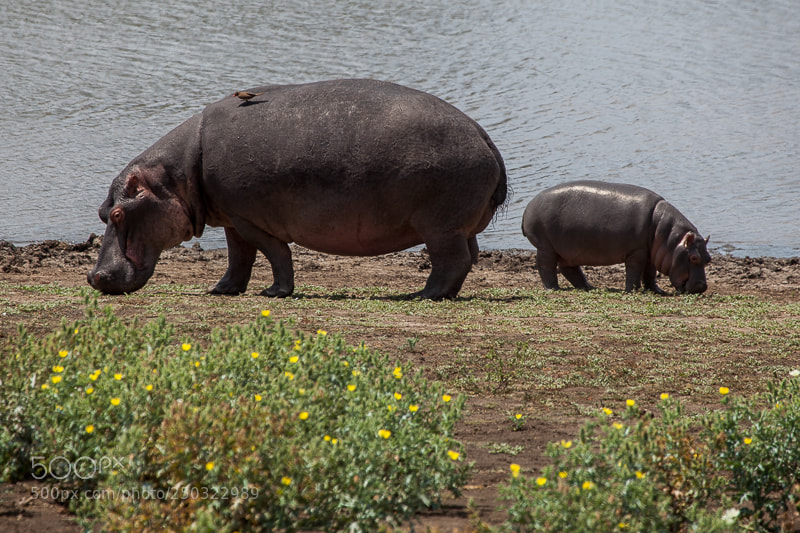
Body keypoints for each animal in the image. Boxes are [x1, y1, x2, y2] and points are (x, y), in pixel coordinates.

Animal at [87, 79, 507, 299]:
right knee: (469, 256)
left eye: (120, 213)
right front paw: (222, 290)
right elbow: (238, 258)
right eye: (102, 212)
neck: (177, 176)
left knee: (452, 260)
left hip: (440, 227)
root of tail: (484, 137)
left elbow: (275, 253)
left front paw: (274, 293)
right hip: (457, 227)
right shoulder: (232, 219)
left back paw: (422, 295)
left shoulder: (251, 218)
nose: (94, 277)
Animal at [521, 180, 710, 294]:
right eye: (694, 257)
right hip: (546, 247)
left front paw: (657, 291)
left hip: (568, 251)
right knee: (546, 267)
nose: (702, 286)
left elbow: (649, 273)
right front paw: (632, 291)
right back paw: (553, 288)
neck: (670, 238)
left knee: (570, 269)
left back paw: (589, 287)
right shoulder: (637, 251)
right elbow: (634, 271)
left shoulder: (650, 252)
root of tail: (529, 206)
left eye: (708, 258)